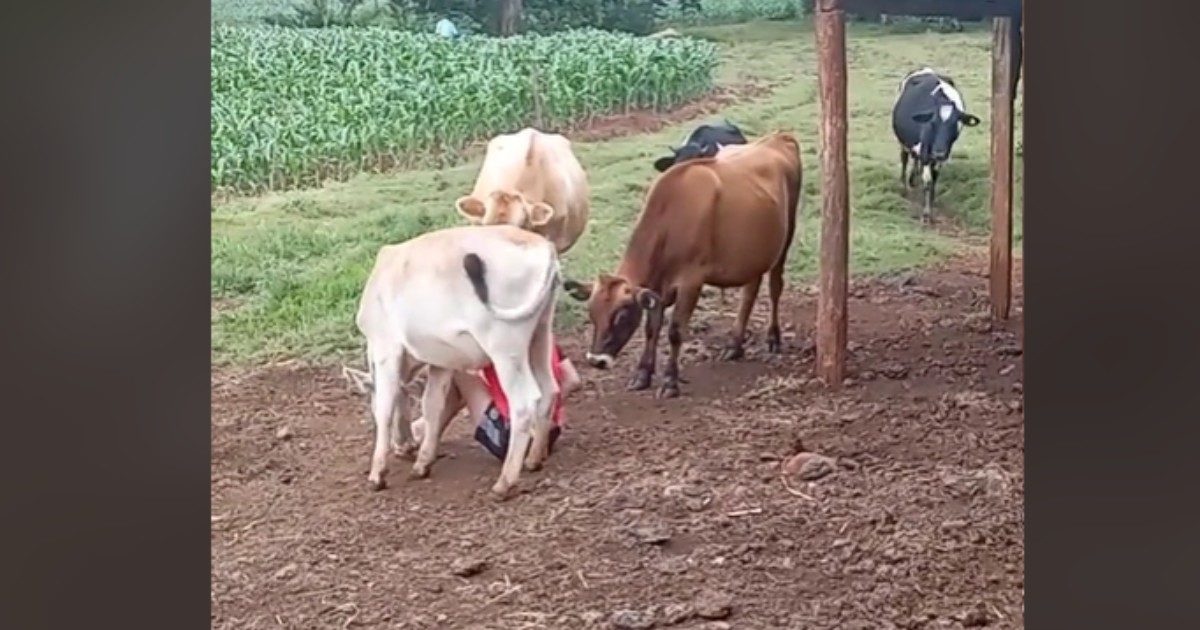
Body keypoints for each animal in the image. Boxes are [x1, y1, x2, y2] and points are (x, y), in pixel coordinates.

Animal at [355, 223, 561, 499]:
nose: (404, 447)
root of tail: (542, 245)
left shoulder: (386, 348)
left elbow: (385, 409)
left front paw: (377, 474)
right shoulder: (441, 360)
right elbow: (432, 405)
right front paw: (422, 463)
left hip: (505, 347)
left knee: (524, 403)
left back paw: (504, 483)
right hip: (540, 334)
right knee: (549, 388)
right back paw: (534, 459)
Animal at [564, 130, 806, 398]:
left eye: (622, 316)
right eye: (592, 313)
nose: (596, 360)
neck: (671, 217)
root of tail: (778, 136)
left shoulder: (692, 281)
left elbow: (675, 331)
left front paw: (670, 381)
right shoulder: (656, 288)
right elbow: (651, 328)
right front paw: (643, 374)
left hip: (785, 237)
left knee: (775, 287)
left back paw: (773, 338)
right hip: (754, 251)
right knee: (750, 291)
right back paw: (735, 344)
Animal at [892, 66, 984, 222]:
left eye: (954, 124)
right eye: (933, 123)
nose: (938, 153)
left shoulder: (941, 154)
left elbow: (934, 179)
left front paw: (932, 202)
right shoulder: (926, 152)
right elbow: (928, 181)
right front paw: (926, 214)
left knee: (914, 159)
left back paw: (912, 179)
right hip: (904, 142)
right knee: (904, 158)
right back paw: (904, 185)